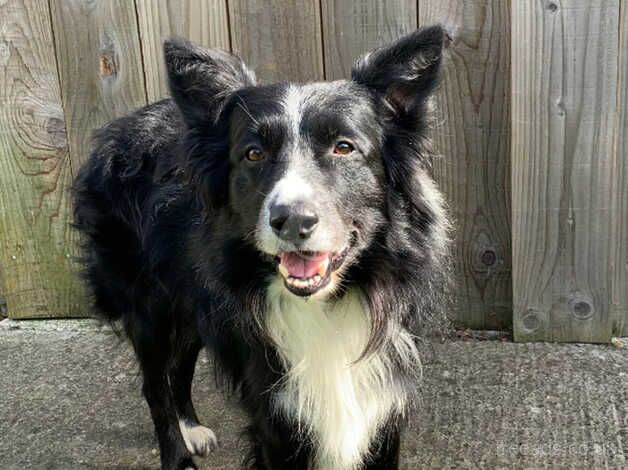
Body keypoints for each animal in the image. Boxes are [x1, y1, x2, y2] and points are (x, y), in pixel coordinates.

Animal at [72, 25, 452, 470]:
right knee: (155, 383)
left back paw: (190, 426)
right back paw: (178, 454)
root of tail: (116, 129)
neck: (325, 305)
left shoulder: (384, 399)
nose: (293, 220)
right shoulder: (276, 414)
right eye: (253, 154)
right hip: (147, 303)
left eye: (343, 147)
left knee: (180, 365)